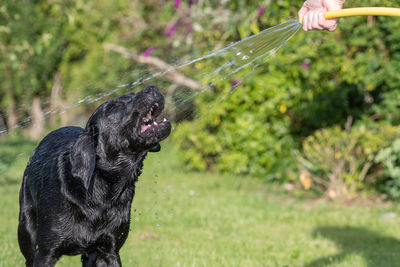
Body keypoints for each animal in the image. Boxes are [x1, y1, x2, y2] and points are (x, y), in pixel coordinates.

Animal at [18, 85, 171, 266]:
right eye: (114, 107)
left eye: (133, 94)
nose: (151, 87)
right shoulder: (45, 253)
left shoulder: (109, 251)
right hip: (26, 229)